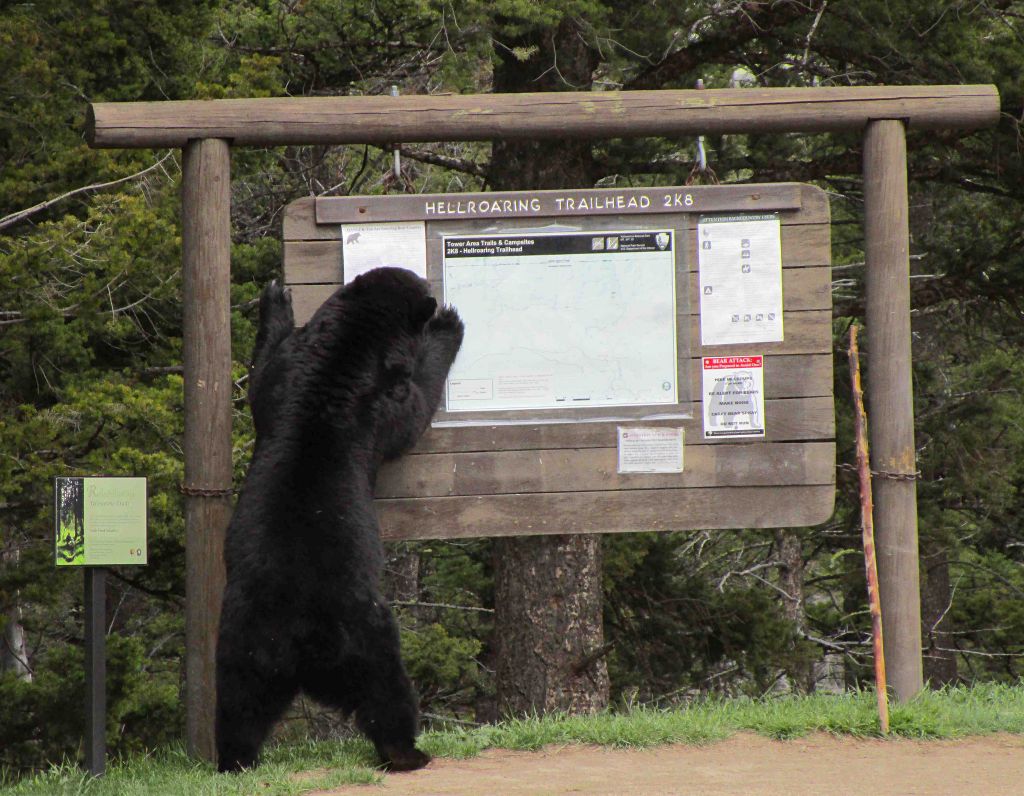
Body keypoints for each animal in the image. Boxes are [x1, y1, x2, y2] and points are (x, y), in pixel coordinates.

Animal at [216, 266, 464, 770]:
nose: (433, 289)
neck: (347, 346)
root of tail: (300, 645)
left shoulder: (286, 373)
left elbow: (262, 374)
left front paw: (276, 297)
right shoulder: (380, 397)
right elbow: (413, 410)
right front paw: (447, 325)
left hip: (243, 644)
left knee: (239, 705)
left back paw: (234, 759)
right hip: (365, 633)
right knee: (386, 690)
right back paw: (409, 751)